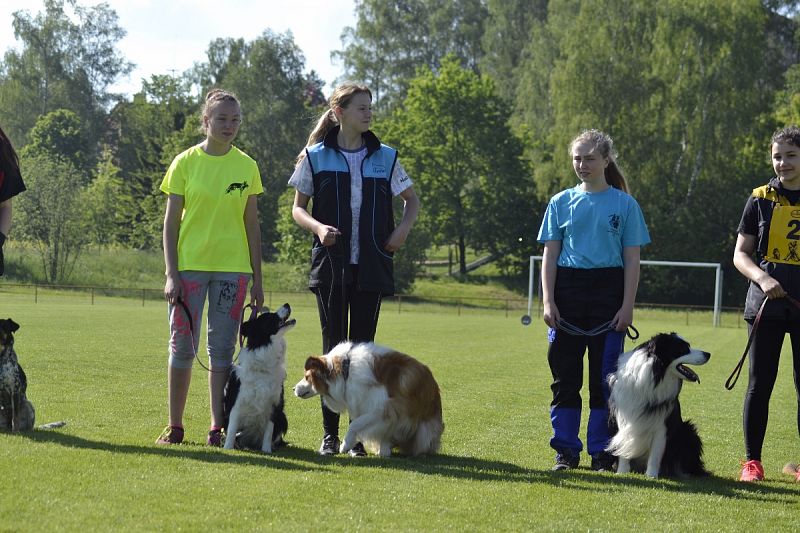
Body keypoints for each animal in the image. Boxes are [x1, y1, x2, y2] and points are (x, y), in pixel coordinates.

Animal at [222, 304, 294, 454]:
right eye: (270, 316)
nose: (287, 304)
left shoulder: (274, 404)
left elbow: (269, 431)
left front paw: (266, 450)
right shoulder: (237, 403)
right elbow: (231, 428)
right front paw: (228, 447)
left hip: (283, 417)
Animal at [294, 342, 444, 456]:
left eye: (307, 377)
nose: (293, 389)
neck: (346, 371)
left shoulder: (382, 408)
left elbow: (355, 424)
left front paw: (345, 445)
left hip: (423, 432)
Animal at [608, 332, 712, 478]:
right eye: (683, 349)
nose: (708, 354)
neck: (654, 376)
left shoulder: (662, 424)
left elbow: (656, 453)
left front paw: (651, 475)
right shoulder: (624, 415)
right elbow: (624, 443)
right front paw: (622, 471)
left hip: (689, 431)